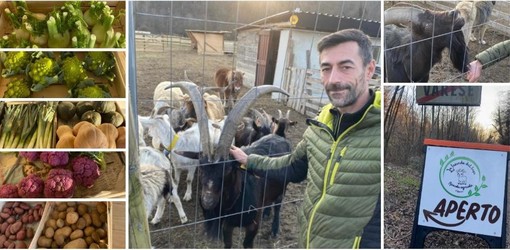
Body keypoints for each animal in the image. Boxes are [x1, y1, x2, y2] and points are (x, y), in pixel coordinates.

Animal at [173, 84, 292, 248]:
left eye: (228, 169)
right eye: (201, 167)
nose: (207, 201)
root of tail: (279, 135)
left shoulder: (253, 226)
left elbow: (247, 243)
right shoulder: (227, 226)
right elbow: (228, 243)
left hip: (283, 187)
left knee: (278, 205)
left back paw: (274, 230)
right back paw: (267, 213)